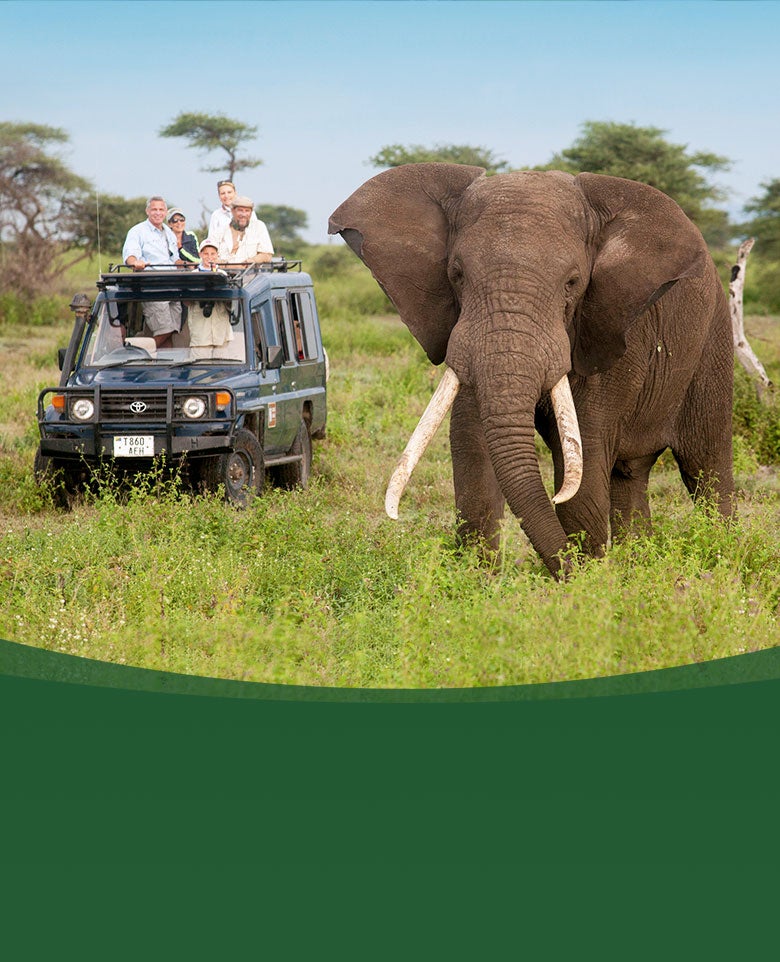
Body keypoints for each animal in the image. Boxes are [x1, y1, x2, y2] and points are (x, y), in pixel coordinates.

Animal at [328, 164, 734, 576]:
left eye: (572, 282)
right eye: (457, 274)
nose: (568, 573)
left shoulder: (610, 328)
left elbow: (584, 461)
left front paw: (587, 581)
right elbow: (473, 445)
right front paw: (480, 580)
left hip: (714, 339)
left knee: (707, 465)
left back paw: (721, 555)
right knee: (630, 474)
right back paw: (639, 565)